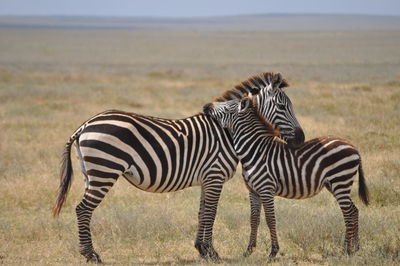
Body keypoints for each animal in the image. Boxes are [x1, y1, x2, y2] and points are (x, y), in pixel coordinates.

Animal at [52, 71, 304, 262]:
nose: (301, 139)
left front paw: (201, 250)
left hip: (91, 173)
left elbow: (203, 211)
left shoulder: (207, 178)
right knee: (83, 209)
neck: (227, 132)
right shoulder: (215, 175)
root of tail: (86, 124)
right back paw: (91, 255)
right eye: (282, 106)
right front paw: (212, 252)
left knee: (83, 209)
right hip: (105, 170)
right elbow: (211, 212)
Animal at [205, 93, 370, 258]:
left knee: (348, 213)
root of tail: (353, 147)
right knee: (353, 211)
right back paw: (355, 248)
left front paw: (273, 252)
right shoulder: (253, 191)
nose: (206, 106)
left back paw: (345, 251)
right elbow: (254, 219)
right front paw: (249, 251)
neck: (254, 151)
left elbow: (270, 219)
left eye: (227, 107)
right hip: (334, 184)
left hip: (340, 181)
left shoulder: (266, 189)